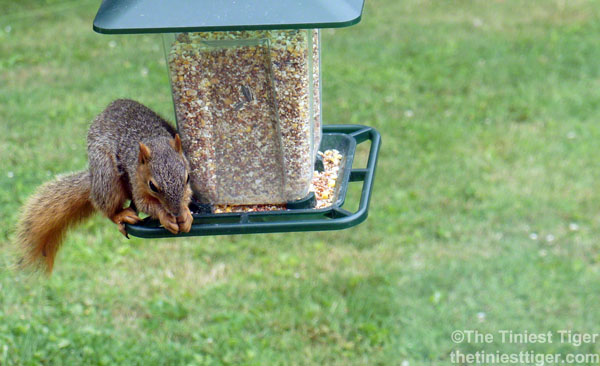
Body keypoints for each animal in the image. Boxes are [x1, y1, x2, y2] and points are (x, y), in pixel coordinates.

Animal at [16, 98, 193, 274]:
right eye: (153, 186)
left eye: (187, 178)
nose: (175, 212)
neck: (153, 138)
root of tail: (93, 180)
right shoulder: (136, 181)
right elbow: (145, 204)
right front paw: (166, 217)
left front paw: (185, 215)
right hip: (107, 178)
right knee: (108, 209)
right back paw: (120, 216)